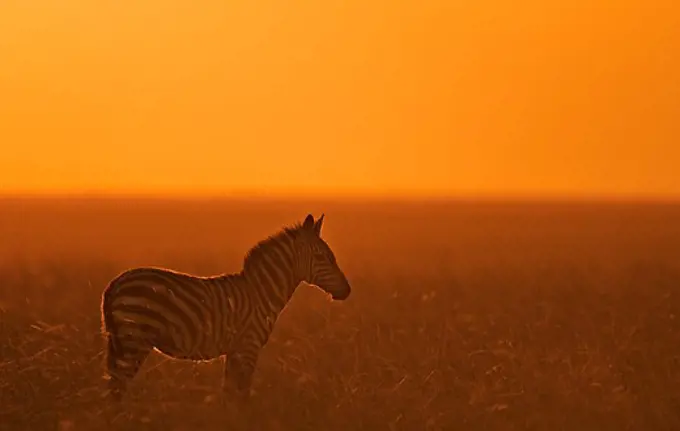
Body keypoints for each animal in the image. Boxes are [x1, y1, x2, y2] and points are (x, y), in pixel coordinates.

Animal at [101, 214, 350, 404]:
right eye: (322, 257)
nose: (347, 290)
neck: (262, 293)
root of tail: (114, 284)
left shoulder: (235, 350)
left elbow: (229, 394)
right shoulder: (248, 346)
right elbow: (241, 395)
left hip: (120, 341)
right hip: (134, 340)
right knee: (117, 389)